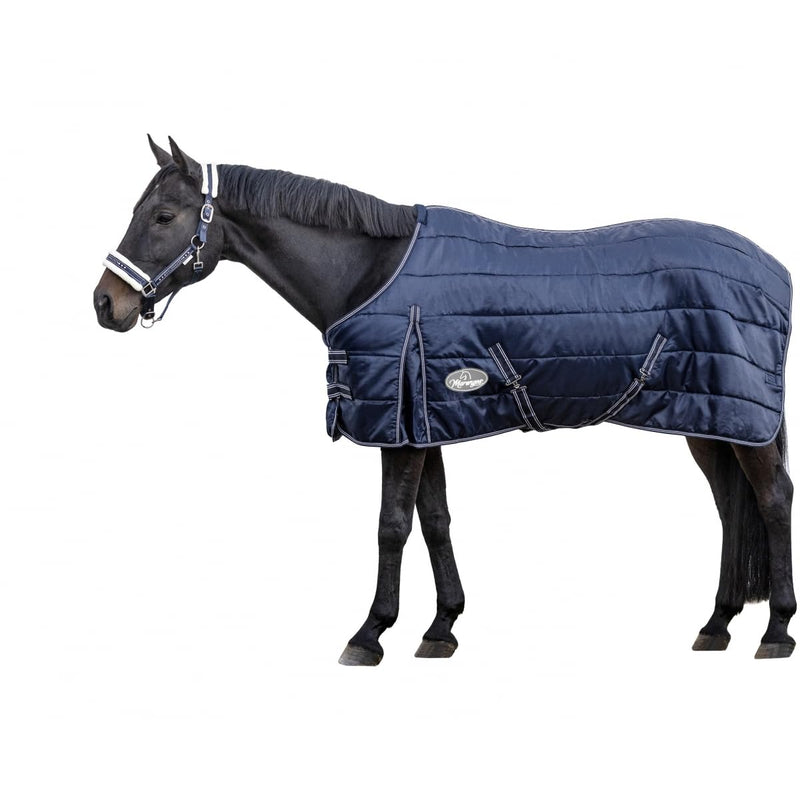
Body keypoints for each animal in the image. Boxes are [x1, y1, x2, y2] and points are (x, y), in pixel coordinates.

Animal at [93, 136, 795, 663]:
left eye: (163, 217)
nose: (106, 303)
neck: (371, 275)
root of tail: (775, 272)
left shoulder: (398, 423)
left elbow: (392, 525)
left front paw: (369, 634)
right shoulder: (423, 419)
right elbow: (434, 520)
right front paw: (441, 628)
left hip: (740, 420)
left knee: (771, 498)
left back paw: (775, 631)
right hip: (711, 419)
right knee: (731, 507)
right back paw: (717, 625)